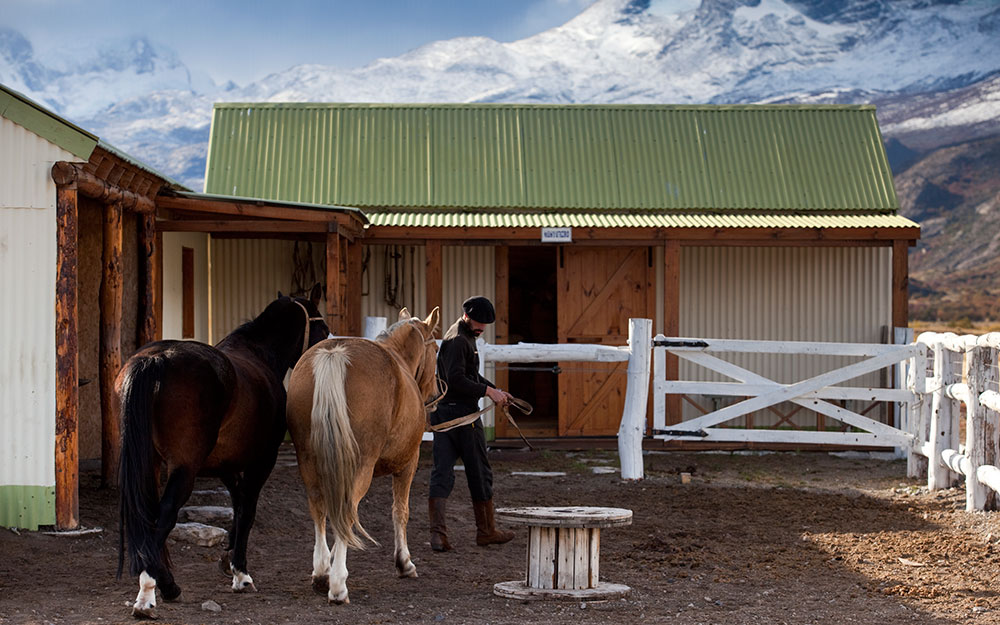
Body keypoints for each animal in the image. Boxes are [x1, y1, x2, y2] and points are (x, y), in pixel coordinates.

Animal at [116, 289, 329, 619]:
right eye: (322, 327)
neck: (258, 354)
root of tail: (155, 360)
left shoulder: (225, 466)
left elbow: (239, 506)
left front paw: (227, 559)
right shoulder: (261, 462)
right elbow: (248, 510)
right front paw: (240, 572)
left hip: (149, 465)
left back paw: (164, 583)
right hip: (183, 470)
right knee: (163, 518)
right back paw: (151, 591)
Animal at [286, 307, 441, 604]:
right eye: (437, 349)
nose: (436, 394)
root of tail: (334, 354)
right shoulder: (409, 463)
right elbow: (400, 511)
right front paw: (404, 563)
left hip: (309, 462)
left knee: (319, 509)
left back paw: (321, 572)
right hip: (360, 467)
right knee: (346, 512)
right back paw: (337, 585)